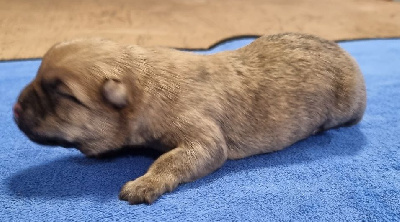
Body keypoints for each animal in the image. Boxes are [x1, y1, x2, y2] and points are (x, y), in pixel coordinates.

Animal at [14, 33, 368, 205]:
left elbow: (175, 159)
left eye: (62, 94)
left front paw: (145, 183)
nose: (15, 110)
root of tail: (345, 52)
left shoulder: (201, 135)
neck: (145, 83)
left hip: (348, 106)